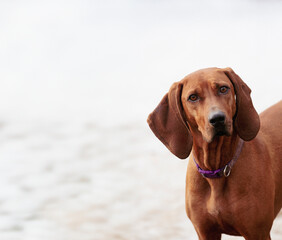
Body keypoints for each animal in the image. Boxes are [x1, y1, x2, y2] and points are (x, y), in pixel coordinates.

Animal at [148, 68, 282, 240]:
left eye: (223, 89)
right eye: (193, 97)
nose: (217, 119)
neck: (216, 168)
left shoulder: (258, 233)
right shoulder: (205, 232)